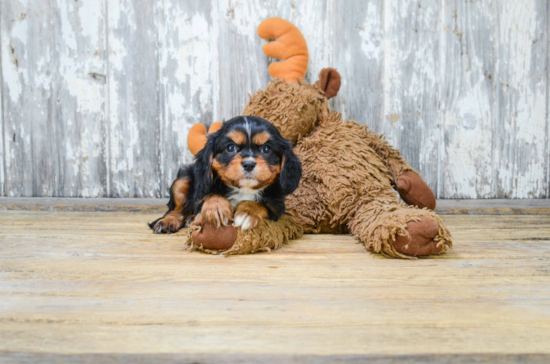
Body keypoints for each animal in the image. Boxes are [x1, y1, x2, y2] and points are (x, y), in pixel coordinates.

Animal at [150, 116, 302, 235]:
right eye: (230, 147)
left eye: (266, 149)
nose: (248, 164)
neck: (243, 189)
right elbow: (210, 195)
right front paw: (216, 208)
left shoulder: (276, 207)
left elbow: (261, 205)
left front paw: (247, 212)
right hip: (181, 181)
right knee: (175, 209)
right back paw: (167, 221)